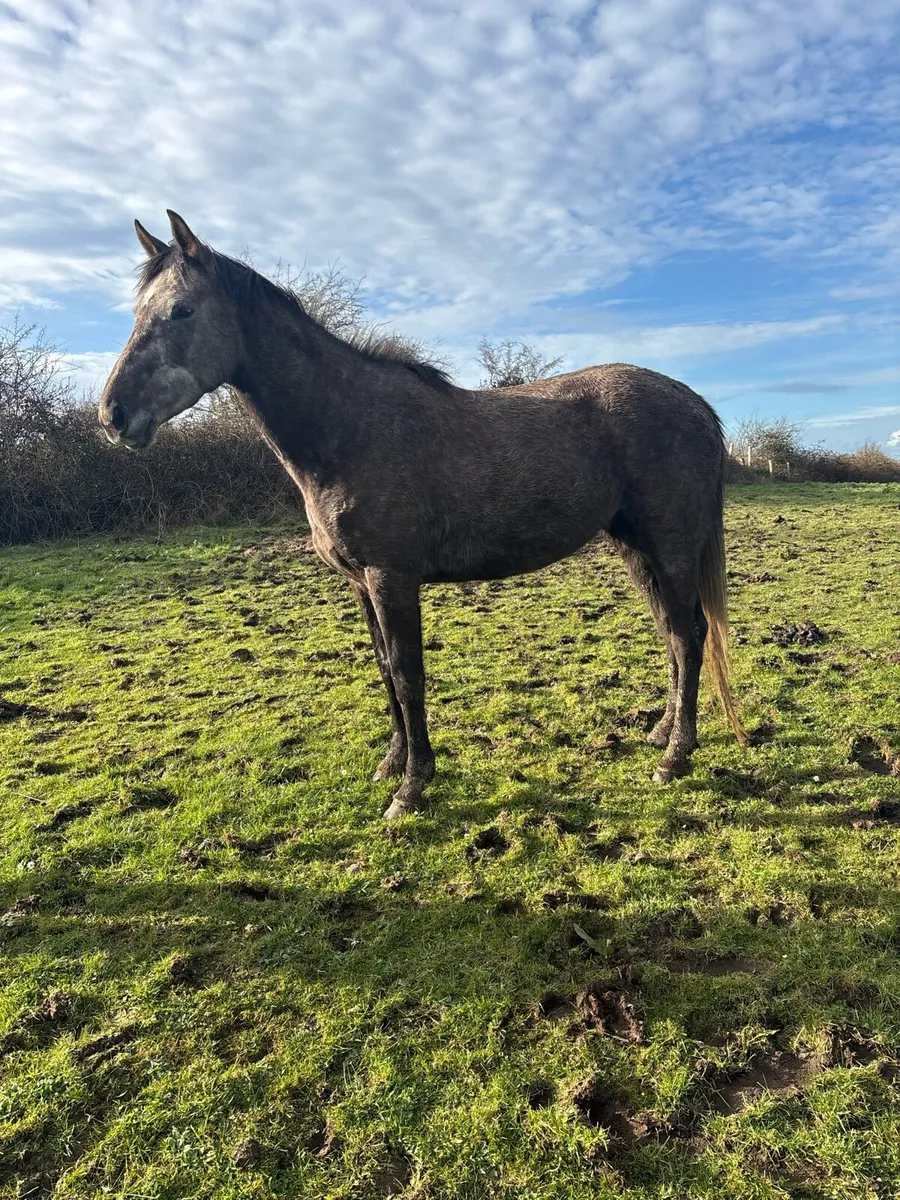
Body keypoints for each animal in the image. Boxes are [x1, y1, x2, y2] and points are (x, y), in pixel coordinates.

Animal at [99, 211, 747, 819]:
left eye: (181, 311)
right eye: (137, 312)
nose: (113, 415)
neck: (349, 428)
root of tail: (695, 404)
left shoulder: (393, 577)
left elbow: (409, 675)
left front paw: (412, 788)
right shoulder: (361, 583)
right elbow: (386, 670)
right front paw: (393, 763)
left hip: (672, 545)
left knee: (689, 636)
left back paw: (675, 757)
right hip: (636, 549)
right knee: (671, 633)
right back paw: (662, 732)